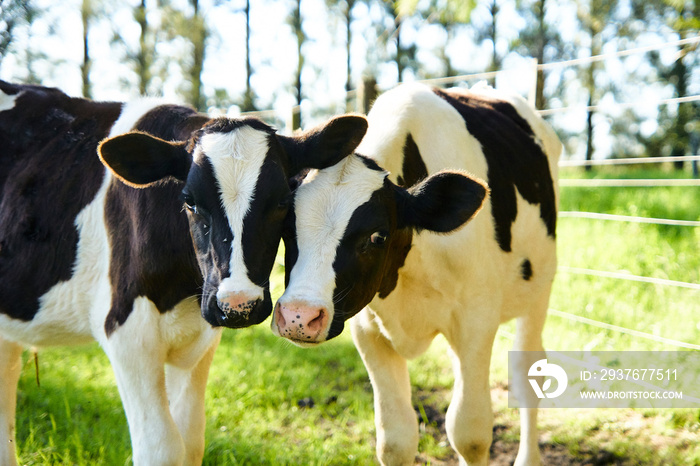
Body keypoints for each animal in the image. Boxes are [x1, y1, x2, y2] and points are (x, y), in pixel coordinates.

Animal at [0, 82, 370, 464]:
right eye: (190, 201)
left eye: (283, 201)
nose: (239, 306)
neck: (183, 294)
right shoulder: (128, 335)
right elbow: (162, 448)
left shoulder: (200, 339)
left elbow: (191, 440)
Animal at [270, 83, 560, 466]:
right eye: (287, 226)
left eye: (377, 236)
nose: (299, 317)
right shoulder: (367, 331)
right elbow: (396, 440)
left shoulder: (476, 321)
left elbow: (470, 433)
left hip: (538, 291)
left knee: (527, 373)